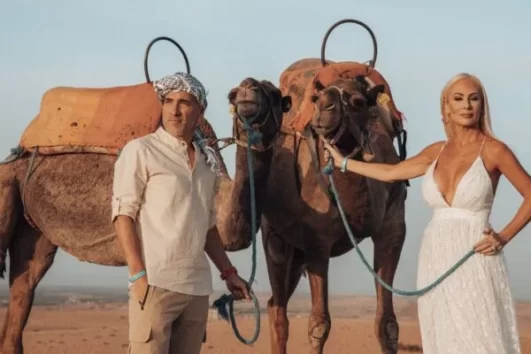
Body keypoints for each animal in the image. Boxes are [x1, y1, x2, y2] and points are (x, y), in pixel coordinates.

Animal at [0, 71, 290, 352]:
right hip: (6, 188)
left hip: (35, 228)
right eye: (233, 94)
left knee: (24, 287)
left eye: (274, 94)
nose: (248, 90)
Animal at [227, 20, 410, 354]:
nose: (324, 108)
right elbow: (318, 324)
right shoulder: (316, 239)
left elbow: (388, 324)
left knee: (275, 304)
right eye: (316, 98)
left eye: (358, 101)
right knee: (278, 309)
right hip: (276, 239)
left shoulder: (393, 229)